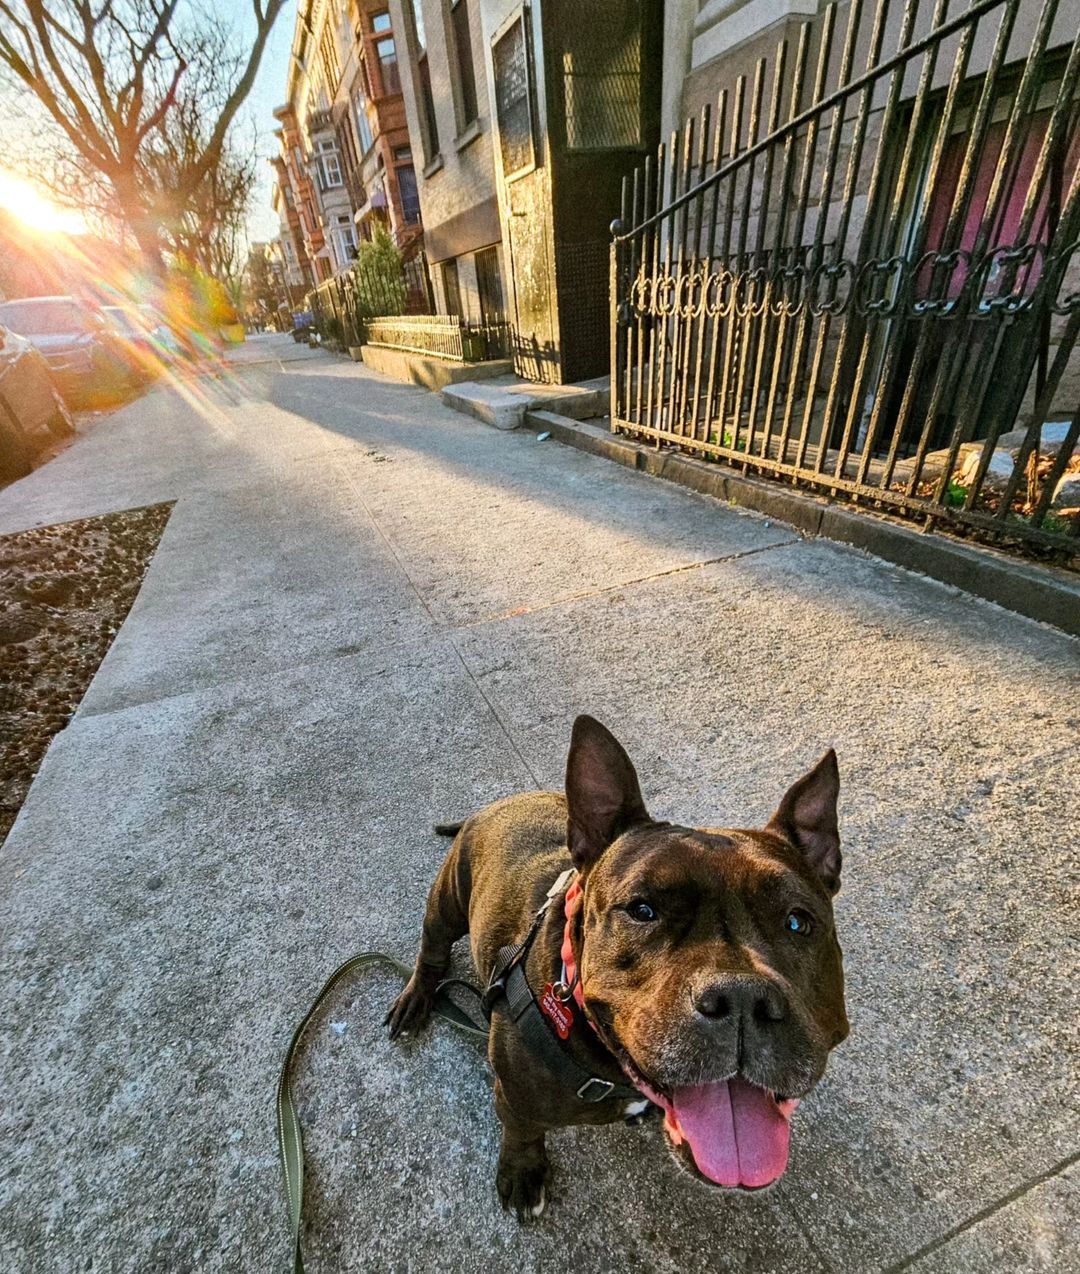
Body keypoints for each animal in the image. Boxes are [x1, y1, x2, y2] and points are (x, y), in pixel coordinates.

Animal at [384, 713, 845, 1217]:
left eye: (798, 922)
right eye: (642, 910)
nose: (743, 998)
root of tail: (503, 801)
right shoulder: (515, 1097)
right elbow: (522, 1132)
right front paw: (523, 1173)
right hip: (447, 898)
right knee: (432, 950)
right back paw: (414, 999)